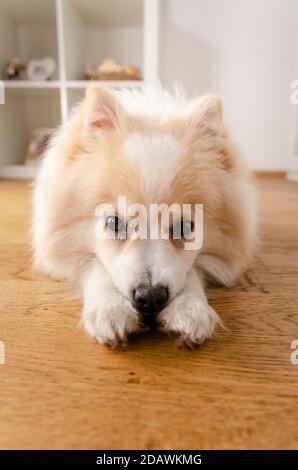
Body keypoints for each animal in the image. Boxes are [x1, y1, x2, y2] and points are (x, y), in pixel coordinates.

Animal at [32, 85, 256, 348]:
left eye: (184, 226)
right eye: (114, 223)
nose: (150, 297)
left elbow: (191, 271)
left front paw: (190, 308)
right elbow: (97, 265)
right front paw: (111, 308)